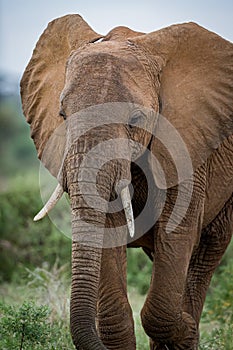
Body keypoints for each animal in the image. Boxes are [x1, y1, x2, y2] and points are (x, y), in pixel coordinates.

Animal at [20, 14, 233, 350]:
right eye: (62, 114)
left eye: (135, 120)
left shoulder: (189, 147)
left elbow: (177, 233)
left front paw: (186, 328)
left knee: (207, 250)